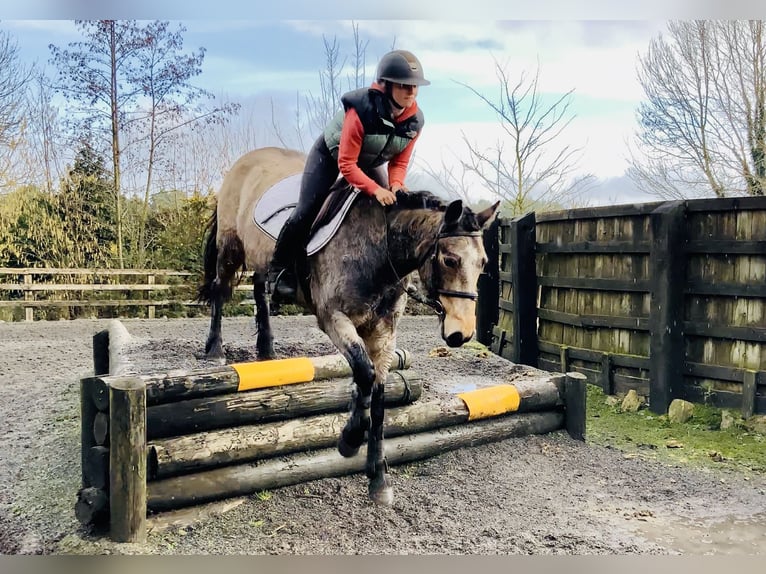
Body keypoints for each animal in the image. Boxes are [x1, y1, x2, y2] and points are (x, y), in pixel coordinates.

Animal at [198, 146, 499, 504]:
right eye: (450, 260)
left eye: (483, 263)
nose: (461, 334)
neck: (379, 251)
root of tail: (248, 159)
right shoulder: (333, 318)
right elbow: (364, 373)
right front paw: (349, 440)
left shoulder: (384, 330)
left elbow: (377, 393)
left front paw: (378, 479)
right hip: (230, 246)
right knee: (219, 289)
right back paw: (215, 350)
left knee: (260, 289)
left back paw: (267, 350)